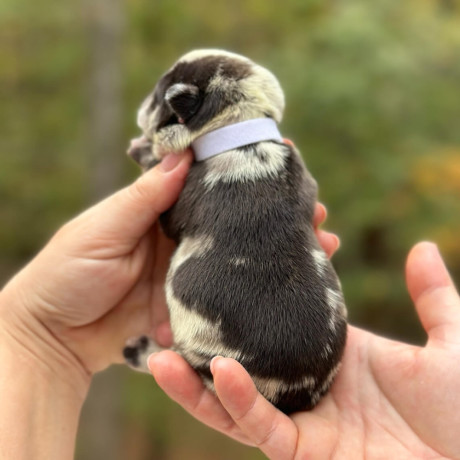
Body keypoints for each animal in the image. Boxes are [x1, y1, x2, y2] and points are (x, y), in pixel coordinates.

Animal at [124, 50, 346, 414]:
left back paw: (139, 351)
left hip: (204, 361)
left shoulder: (176, 201)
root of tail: (295, 397)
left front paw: (144, 150)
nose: (141, 105)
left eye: (158, 96)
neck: (240, 129)